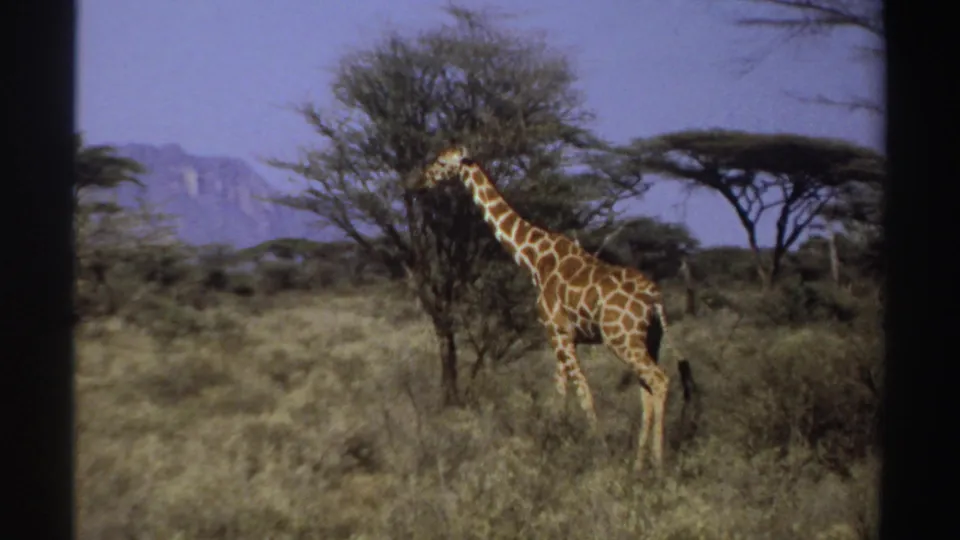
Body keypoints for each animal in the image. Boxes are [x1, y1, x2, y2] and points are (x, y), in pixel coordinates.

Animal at [405, 146, 696, 472]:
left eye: (442, 162)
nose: (417, 181)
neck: (533, 256)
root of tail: (655, 298)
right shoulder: (561, 337)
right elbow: (562, 390)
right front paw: (561, 442)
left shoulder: (558, 332)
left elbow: (582, 391)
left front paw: (597, 449)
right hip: (650, 339)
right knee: (647, 389)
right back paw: (639, 462)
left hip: (621, 339)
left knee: (659, 379)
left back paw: (659, 462)